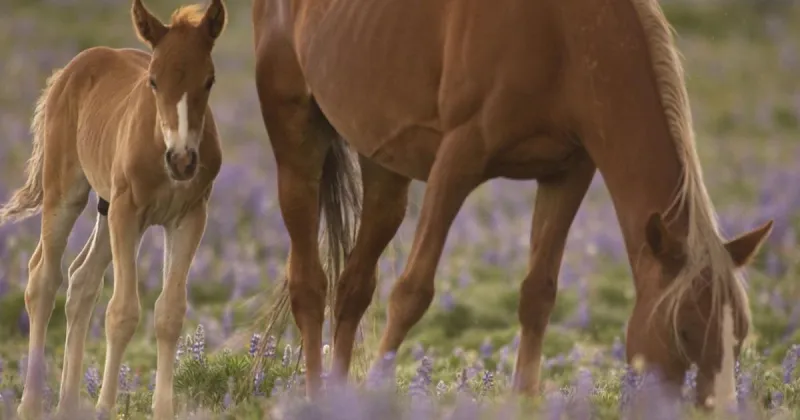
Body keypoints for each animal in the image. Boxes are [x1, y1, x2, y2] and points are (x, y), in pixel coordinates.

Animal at [0, 0, 227, 418]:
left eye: (209, 80)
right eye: (153, 81)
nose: (182, 160)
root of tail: (70, 69)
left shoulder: (189, 216)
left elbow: (170, 312)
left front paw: (163, 410)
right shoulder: (128, 211)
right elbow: (122, 312)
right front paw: (106, 406)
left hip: (106, 208)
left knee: (81, 280)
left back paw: (68, 404)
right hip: (68, 194)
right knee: (43, 278)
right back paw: (31, 403)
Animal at [251, 0, 773, 409]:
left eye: (740, 335)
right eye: (684, 330)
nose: (714, 410)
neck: (564, 35)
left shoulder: (568, 172)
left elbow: (537, 295)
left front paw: (524, 400)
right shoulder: (458, 158)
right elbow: (412, 292)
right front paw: (379, 390)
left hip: (383, 167)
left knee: (354, 288)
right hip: (296, 140)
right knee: (310, 284)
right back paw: (315, 397)